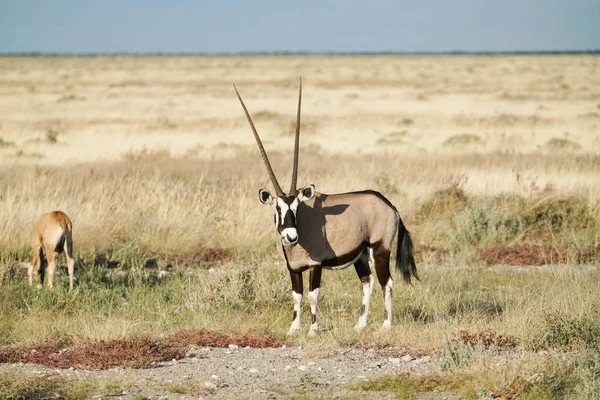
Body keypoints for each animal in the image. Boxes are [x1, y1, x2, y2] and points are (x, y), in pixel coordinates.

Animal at [233, 79, 418, 334]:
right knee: (367, 282)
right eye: (278, 208)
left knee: (386, 283)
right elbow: (297, 295)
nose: (291, 236)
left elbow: (313, 295)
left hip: (379, 250)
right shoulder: (294, 268)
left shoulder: (315, 265)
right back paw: (360, 325)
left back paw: (385, 325)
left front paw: (313, 329)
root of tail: (391, 206)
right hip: (361, 256)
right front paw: (293, 328)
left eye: (297, 208)